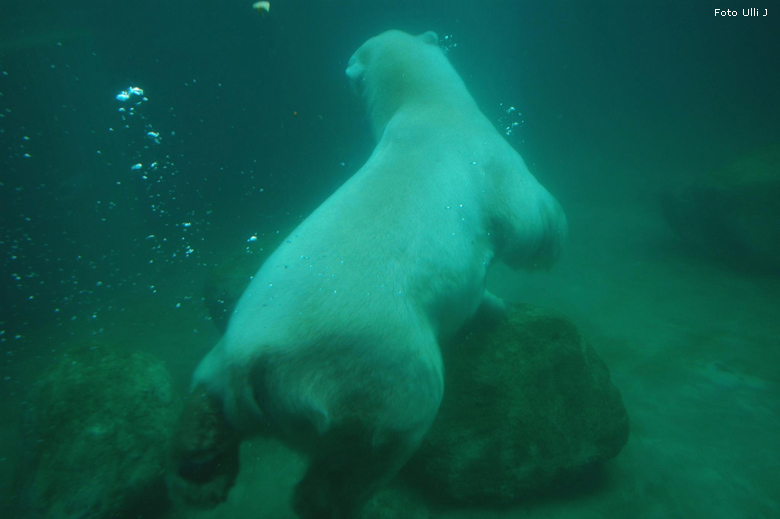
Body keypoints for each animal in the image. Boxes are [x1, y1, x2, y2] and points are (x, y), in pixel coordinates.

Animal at [172, 29, 568, 519]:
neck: (426, 106)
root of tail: (256, 364)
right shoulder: (490, 160)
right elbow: (528, 215)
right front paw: (552, 247)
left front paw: (496, 306)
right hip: (373, 364)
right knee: (384, 434)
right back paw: (333, 498)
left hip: (233, 349)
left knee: (206, 394)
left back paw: (200, 475)